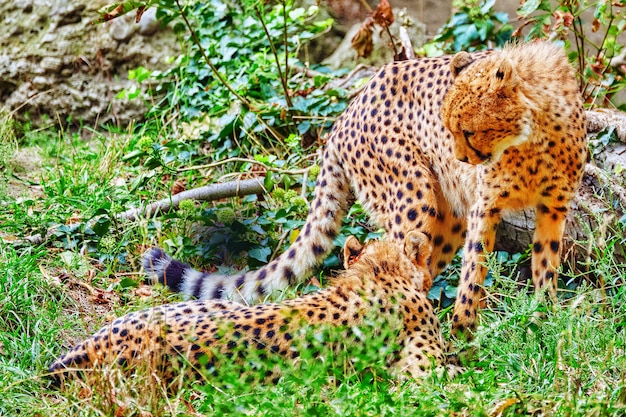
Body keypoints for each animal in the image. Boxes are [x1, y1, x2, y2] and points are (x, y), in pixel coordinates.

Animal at [143, 41, 584, 334]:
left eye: (469, 131)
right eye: (450, 127)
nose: (460, 160)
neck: (531, 133)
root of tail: (344, 114)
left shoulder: (553, 207)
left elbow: (546, 264)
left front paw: (546, 317)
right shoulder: (484, 207)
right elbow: (473, 273)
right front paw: (464, 332)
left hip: (446, 218)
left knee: (419, 267)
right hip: (413, 196)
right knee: (391, 259)